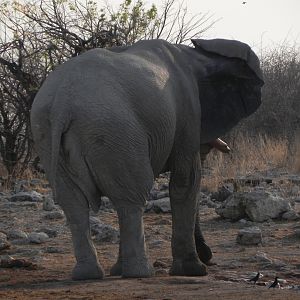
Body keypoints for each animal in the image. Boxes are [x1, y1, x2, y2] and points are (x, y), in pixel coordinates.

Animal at [30, 38, 264, 280]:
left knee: (75, 203)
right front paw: (193, 271)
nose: (209, 256)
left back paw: (89, 275)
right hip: (114, 131)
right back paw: (140, 273)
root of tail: (61, 105)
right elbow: (186, 181)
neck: (197, 55)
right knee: (131, 198)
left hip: (48, 136)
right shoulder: (187, 111)